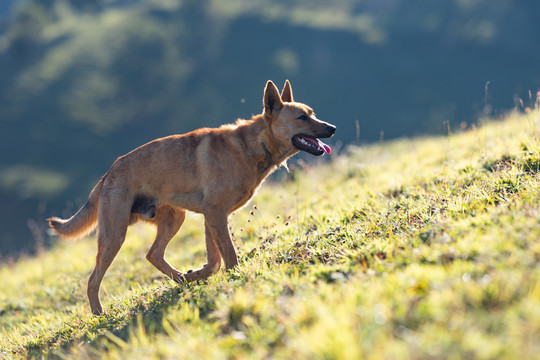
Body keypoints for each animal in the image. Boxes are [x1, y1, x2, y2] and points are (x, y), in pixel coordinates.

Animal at [49, 80, 334, 314]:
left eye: (312, 113)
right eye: (301, 117)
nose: (332, 128)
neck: (252, 146)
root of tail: (107, 174)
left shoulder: (213, 216)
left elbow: (215, 260)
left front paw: (196, 274)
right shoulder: (215, 212)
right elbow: (228, 254)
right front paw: (235, 278)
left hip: (174, 219)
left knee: (153, 254)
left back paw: (180, 279)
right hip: (114, 235)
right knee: (93, 279)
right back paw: (99, 314)